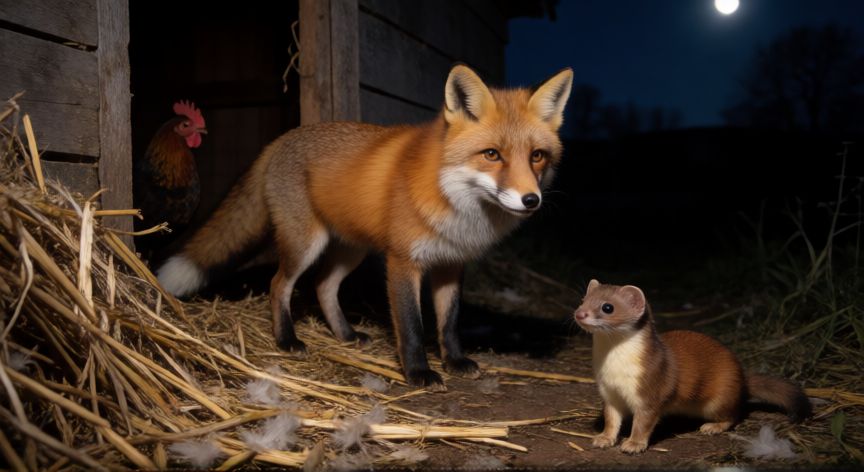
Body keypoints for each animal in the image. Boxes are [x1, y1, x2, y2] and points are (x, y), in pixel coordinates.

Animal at [156, 64, 573, 389]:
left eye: (537, 156)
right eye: (492, 155)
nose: (531, 200)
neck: (454, 202)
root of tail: (279, 140)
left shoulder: (452, 265)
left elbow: (449, 322)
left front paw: (454, 361)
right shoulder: (403, 262)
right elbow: (412, 325)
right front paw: (419, 373)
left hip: (350, 250)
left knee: (324, 286)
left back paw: (345, 335)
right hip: (306, 244)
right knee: (279, 285)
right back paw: (287, 340)